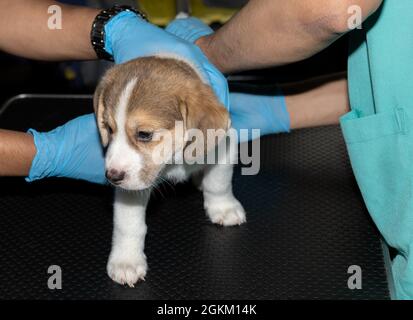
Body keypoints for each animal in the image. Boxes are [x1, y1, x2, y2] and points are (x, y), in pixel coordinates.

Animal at [94, 56, 245, 286]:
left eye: (144, 134)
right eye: (109, 129)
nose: (112, 176)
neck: (174, 158)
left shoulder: (224, 146)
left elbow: (218, 184)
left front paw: (223, 208)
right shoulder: (133, 185)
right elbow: (128, 224)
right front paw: (126, 260)